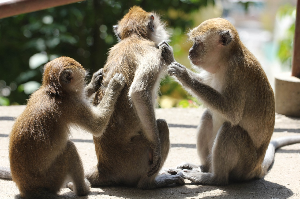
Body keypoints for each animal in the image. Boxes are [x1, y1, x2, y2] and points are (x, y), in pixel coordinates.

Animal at [7, 56, 125, 198]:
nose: (85, 82)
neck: (53, 92)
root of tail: (26, 189)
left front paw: (94, 83)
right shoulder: (71, 105)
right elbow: (97, 125)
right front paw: (114, 86)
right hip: (51, 179)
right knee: (69, 149)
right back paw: (82, 190)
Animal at [86, 6, 184, 189]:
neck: (133, 37)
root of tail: (104, 169)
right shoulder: (153, 51)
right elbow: (139, 92)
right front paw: (158, 150)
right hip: (135, 159)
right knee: (161, 125)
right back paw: (149, 184)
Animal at [163, 17, 300, 186]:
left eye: (198, 43)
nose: (190, 52)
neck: (225, 60)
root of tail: (256, 168)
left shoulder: (236, 72)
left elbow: (232, 113)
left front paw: (184, 76)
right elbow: (205, 84)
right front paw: (169, 58)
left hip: (245, 164)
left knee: (232, 129)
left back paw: (214, 178)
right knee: (208, 116)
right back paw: (203, 167)